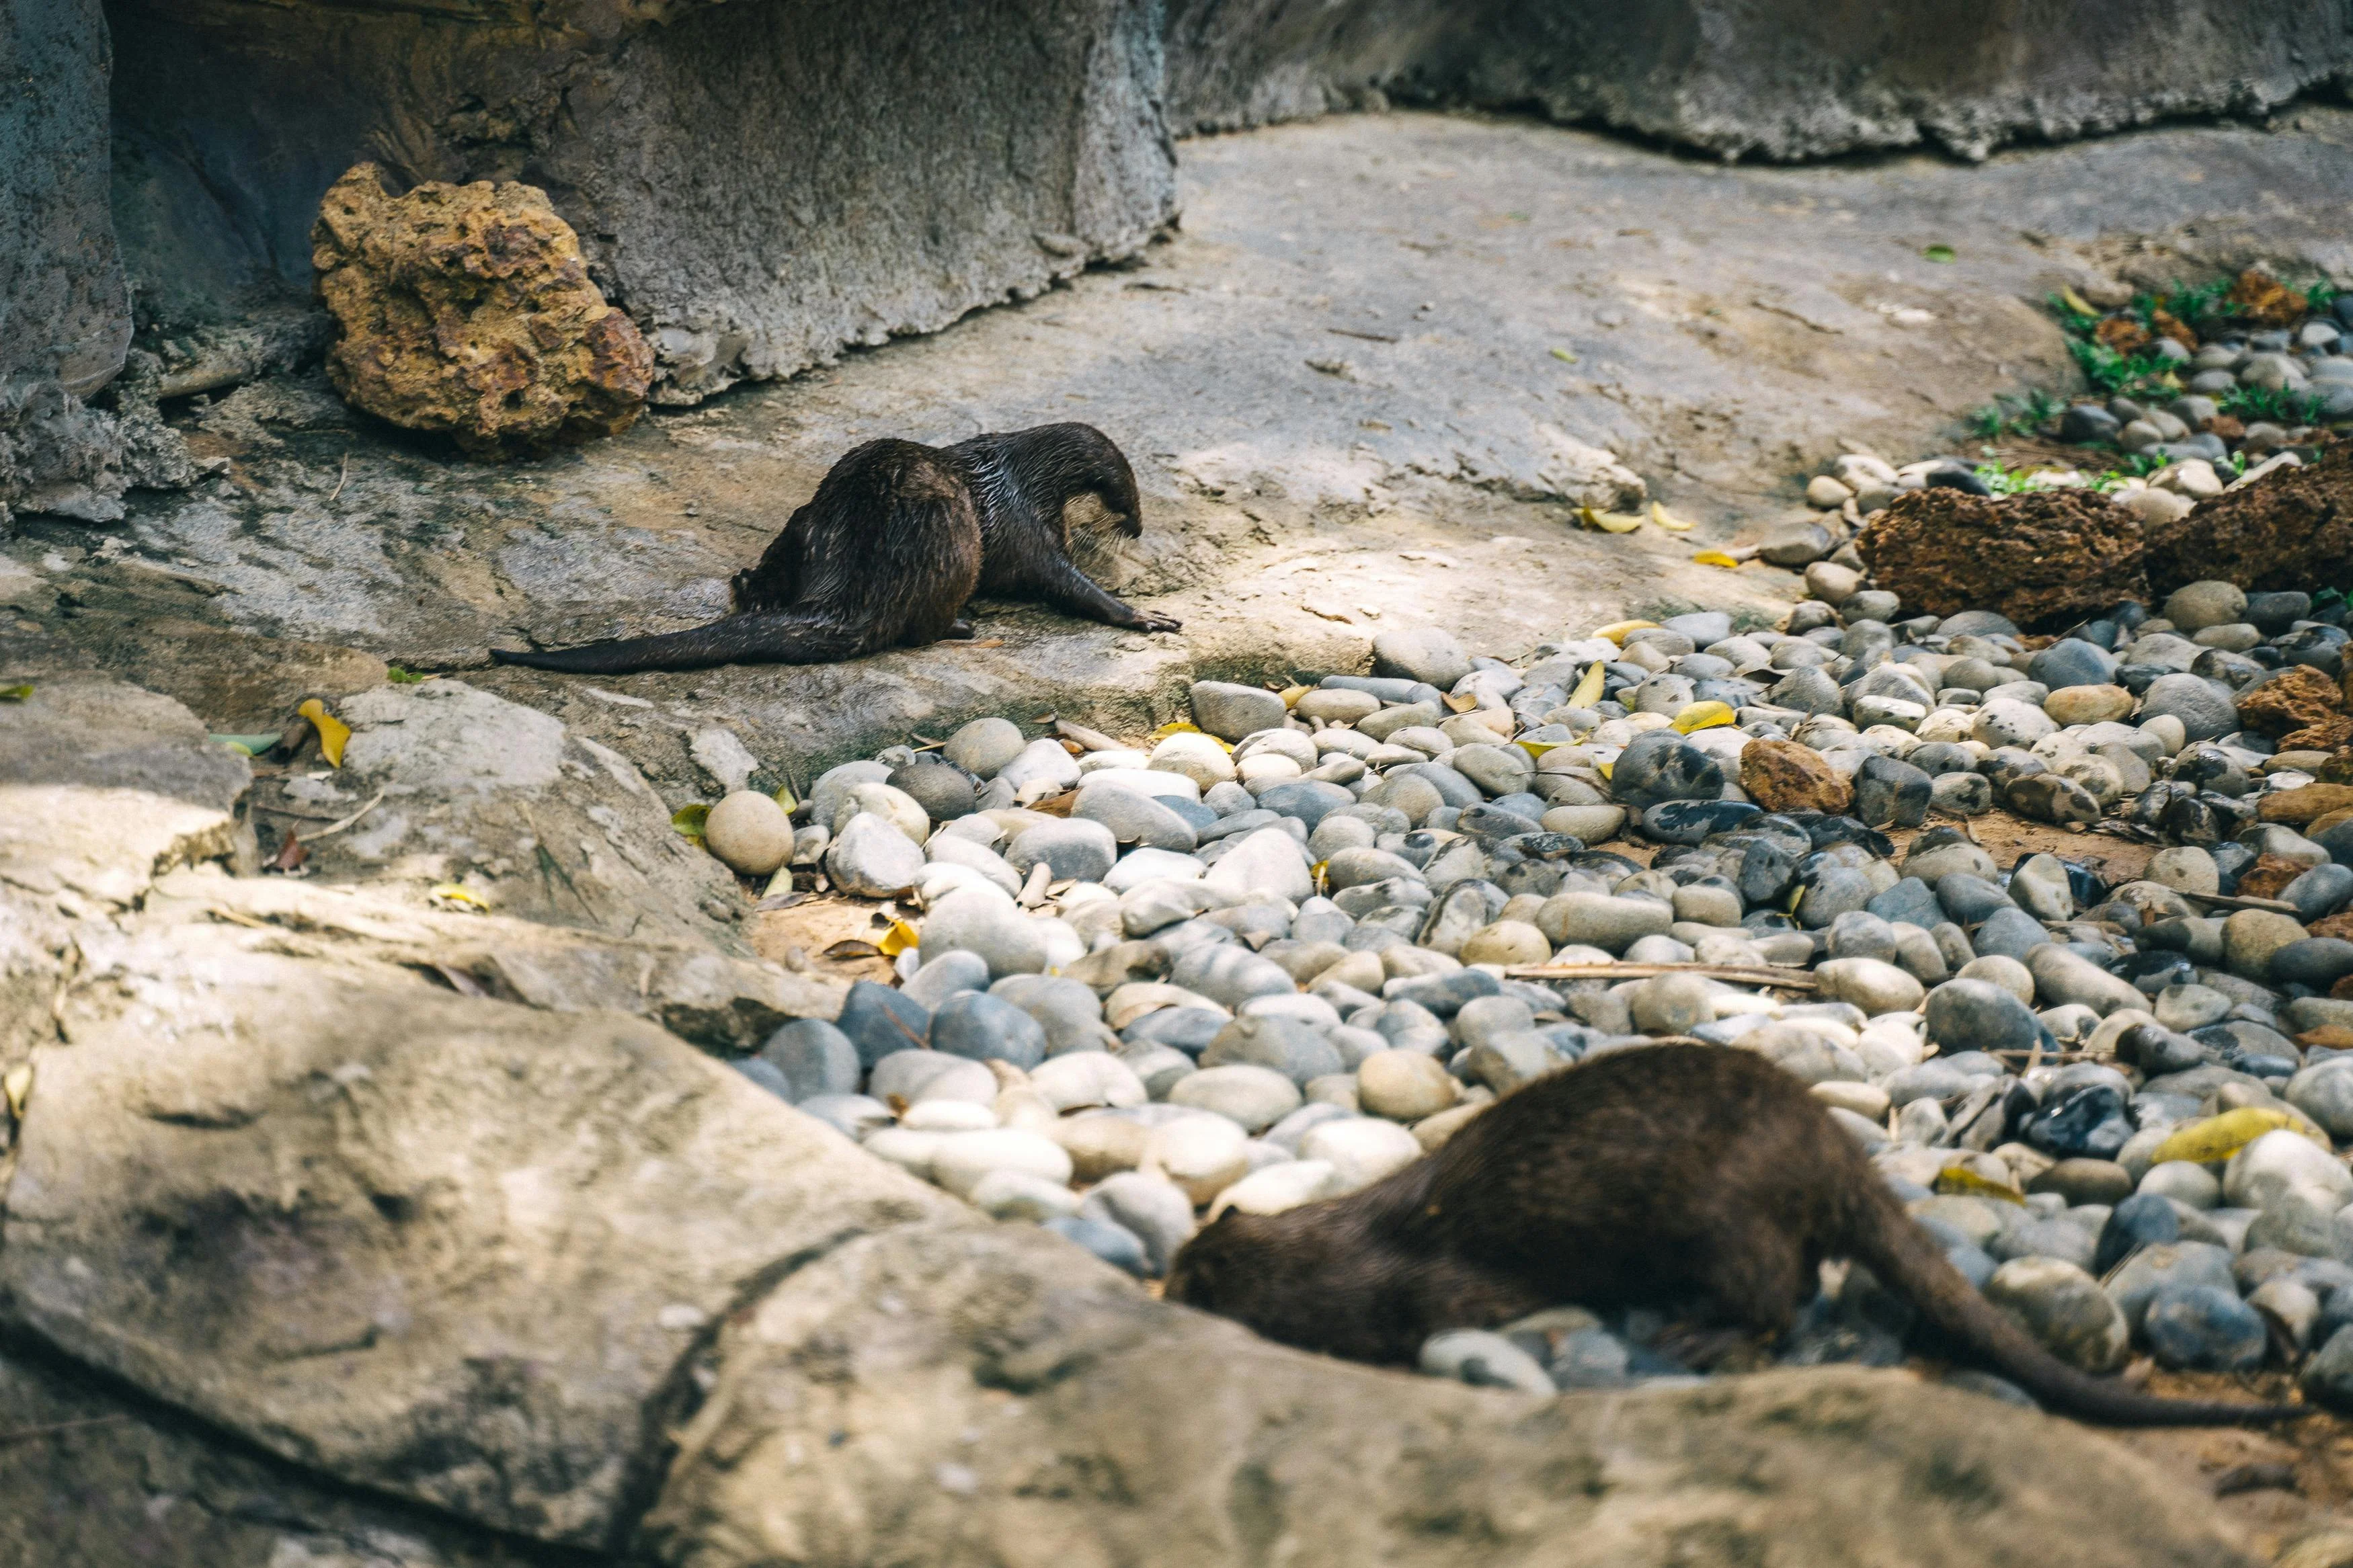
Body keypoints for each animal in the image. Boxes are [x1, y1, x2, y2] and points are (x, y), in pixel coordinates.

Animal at [485, 423, 1176, 677]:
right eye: (1130, 502)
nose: (1141, 530)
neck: (1020, 476)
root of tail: (848, 597)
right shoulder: (1023, 525)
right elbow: (1064, 583)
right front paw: (1142, 615)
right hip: (955, 543)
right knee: (920, 628)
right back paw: (960, 624)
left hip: (814, 518)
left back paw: (752, 589)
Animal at [1167, 1048, 2306, 1429]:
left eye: (1186, 1284)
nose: (1163, 1279)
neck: (1354, 1244)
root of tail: (1828, 1145)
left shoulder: (1433, 1292)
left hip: (1724, 1217)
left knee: (1782, 1296)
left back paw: (1701, 1337)